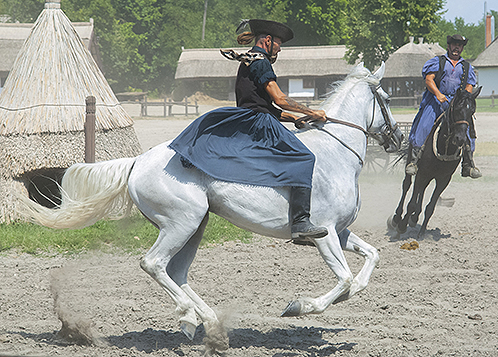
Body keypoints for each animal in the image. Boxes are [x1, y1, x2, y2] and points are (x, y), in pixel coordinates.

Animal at [20, 62, 404, 350]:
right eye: (386, 97)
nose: (398, 137)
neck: (337, 153)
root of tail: (138, 161)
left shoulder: (339, 231)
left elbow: (370, 260)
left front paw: (344, 297)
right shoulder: (325, 234)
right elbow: (344, 278)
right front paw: (301, 307)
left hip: (195, 226)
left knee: (177, 272)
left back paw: (209, 324)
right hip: (181, 224)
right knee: (154, 264)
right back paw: (190, 316)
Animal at [388, 86, 480, 236]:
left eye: (471, 111)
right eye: (457, 109)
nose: (460, 139)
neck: (444, 146)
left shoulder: (444, 179)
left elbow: (431, 206)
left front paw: (421, 233)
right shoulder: (422, 173)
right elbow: (411, 202)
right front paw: (401, 225)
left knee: (422, 190)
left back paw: (414, 218)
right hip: (414, 166)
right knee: (407, 185)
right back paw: (397, 218)